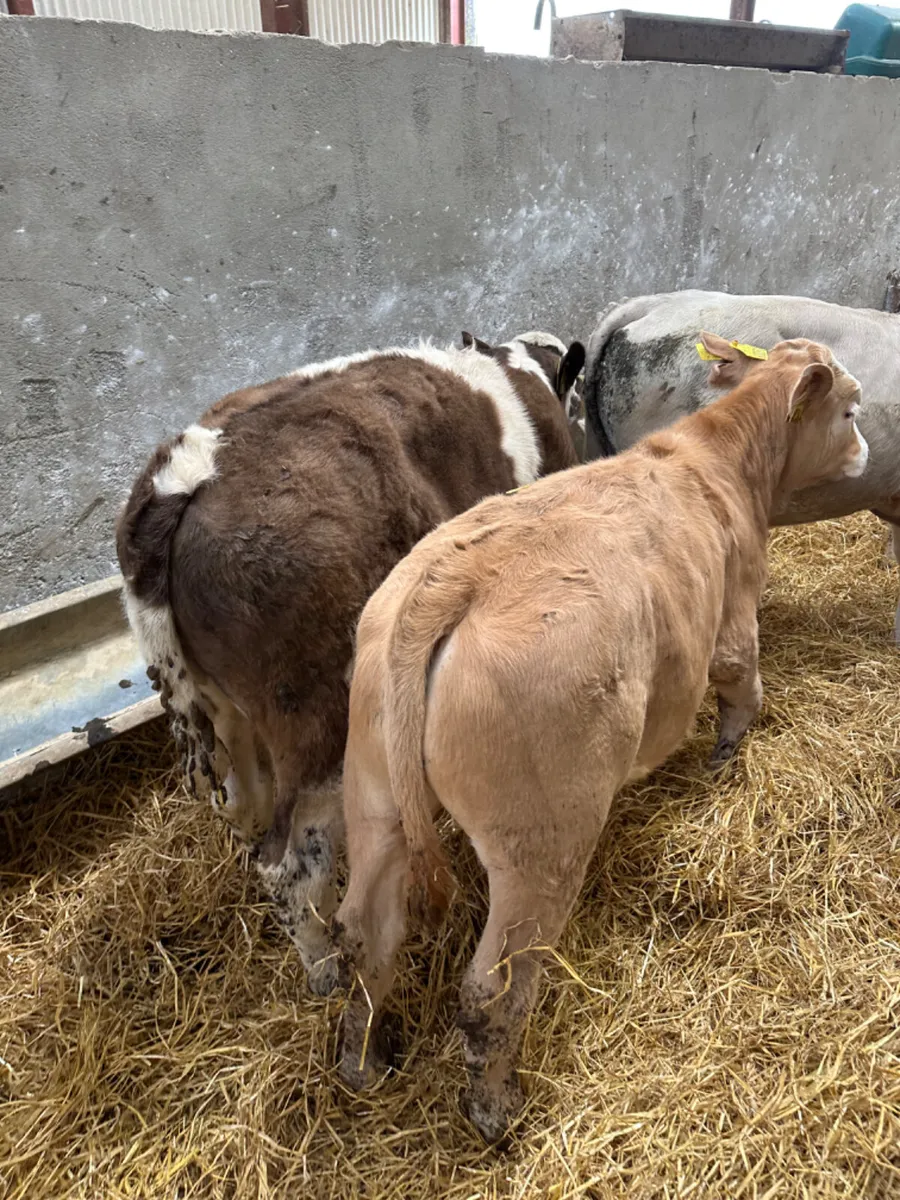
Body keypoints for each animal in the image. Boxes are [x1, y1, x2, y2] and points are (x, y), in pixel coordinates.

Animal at [116, 331, 585, 981]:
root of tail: (183, 475)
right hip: (318, 719)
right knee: (288, 863)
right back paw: (327, 968)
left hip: (222, 713)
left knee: (242, 808)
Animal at [323, 336, 867, 1144]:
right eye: (853, 410)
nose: (867, 451)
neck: (717, 459)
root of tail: (448, 581)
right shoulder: (734, 614)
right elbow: (743, 686)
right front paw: (726, 759)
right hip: (540, 840)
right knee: (492, 989)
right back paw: (496, 1111)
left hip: (374, 794)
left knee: (365, 934)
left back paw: (364, 1062)